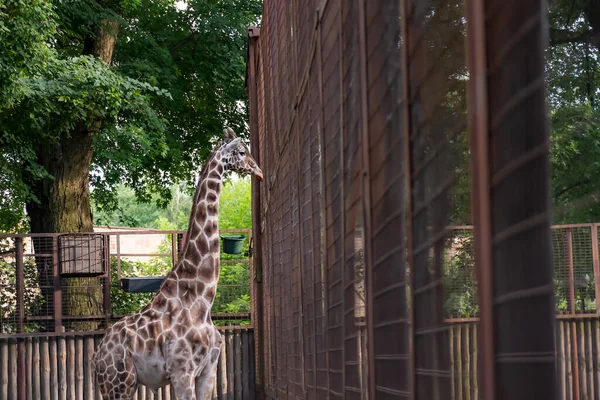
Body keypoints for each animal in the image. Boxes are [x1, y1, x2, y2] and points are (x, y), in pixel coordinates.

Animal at [94, 126, 262, 398]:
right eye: (241, 151)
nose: (258, 171)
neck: (202, 299)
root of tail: (97, 354)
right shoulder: (182, 370)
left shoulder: (208, 370)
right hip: (118, 382)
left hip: (124, 383)